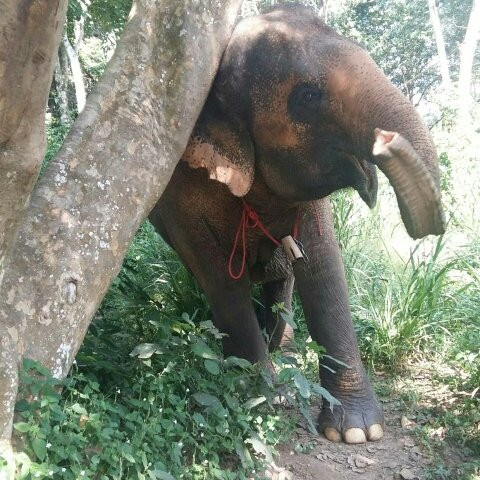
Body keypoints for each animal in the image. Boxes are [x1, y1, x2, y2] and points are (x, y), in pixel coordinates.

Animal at [148, 4, 444, 446]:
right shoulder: (177, 194)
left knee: (282, 280)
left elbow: (323, 266)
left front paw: (358, 433)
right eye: (307, 97)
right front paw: (263, 400)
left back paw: (282, 353)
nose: (385, 140)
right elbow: (220, 278)